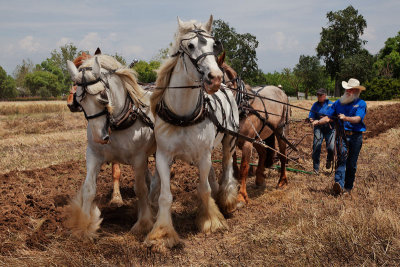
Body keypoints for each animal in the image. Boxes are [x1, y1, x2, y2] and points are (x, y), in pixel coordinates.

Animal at [65, 54, 156, 239]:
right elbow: (89, 188)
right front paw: (84, 225)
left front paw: (143, 223)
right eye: (80, 101)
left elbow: (140, 189)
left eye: (103, 97)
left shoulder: (139, 158)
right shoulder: (93, 154)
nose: (99, 137)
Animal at [148, 15, 239, 249]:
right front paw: (162, 233)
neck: (183, 115)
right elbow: (165, 196)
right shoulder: (163, 156)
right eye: (190, 46)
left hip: (230, 140)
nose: (215, 77)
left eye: (214, 45)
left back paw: (227, 200)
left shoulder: (204, 155)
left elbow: (203, 188)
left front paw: (210, 220)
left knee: (227, 167)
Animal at [220, 58, 290, 207]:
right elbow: (232, 164)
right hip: (259, 136)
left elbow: (244, 167)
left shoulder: (247, 142)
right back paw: (259, 179)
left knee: (283, 155)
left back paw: (282, 181)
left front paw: (241, 197)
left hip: (281, 130)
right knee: (263, 152)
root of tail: (281, 91)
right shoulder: (230, 140)